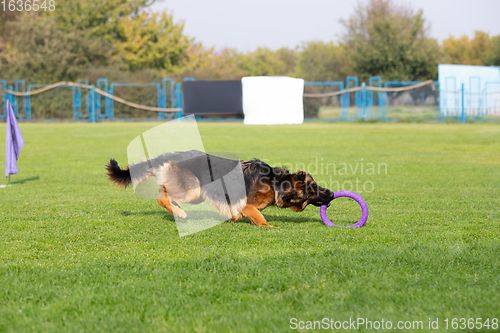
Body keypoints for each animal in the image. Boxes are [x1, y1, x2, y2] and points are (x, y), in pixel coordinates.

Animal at [105, 149, 334, 227]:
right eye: (314, 188)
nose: (332, 193)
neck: (275, 183)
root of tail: (174, 154)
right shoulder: (245, 204)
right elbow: (259, 217)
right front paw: (271, 227)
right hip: (194, 191)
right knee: (162, 195)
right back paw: (178, 212)